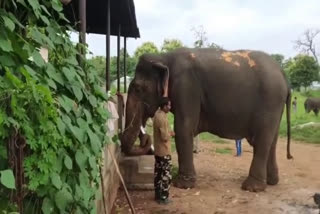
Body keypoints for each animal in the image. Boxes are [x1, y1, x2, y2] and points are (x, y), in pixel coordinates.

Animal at [119, 48, 292, 192]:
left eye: (138, 89)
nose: (144, 138)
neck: (164, 57)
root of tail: (284, 75)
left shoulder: (186, 87)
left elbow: (183, 128)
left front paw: (182, 185)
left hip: (270, 100)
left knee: (263, 139)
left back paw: (252, 188)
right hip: (276, 106)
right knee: (272, 140)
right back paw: (271, 182)